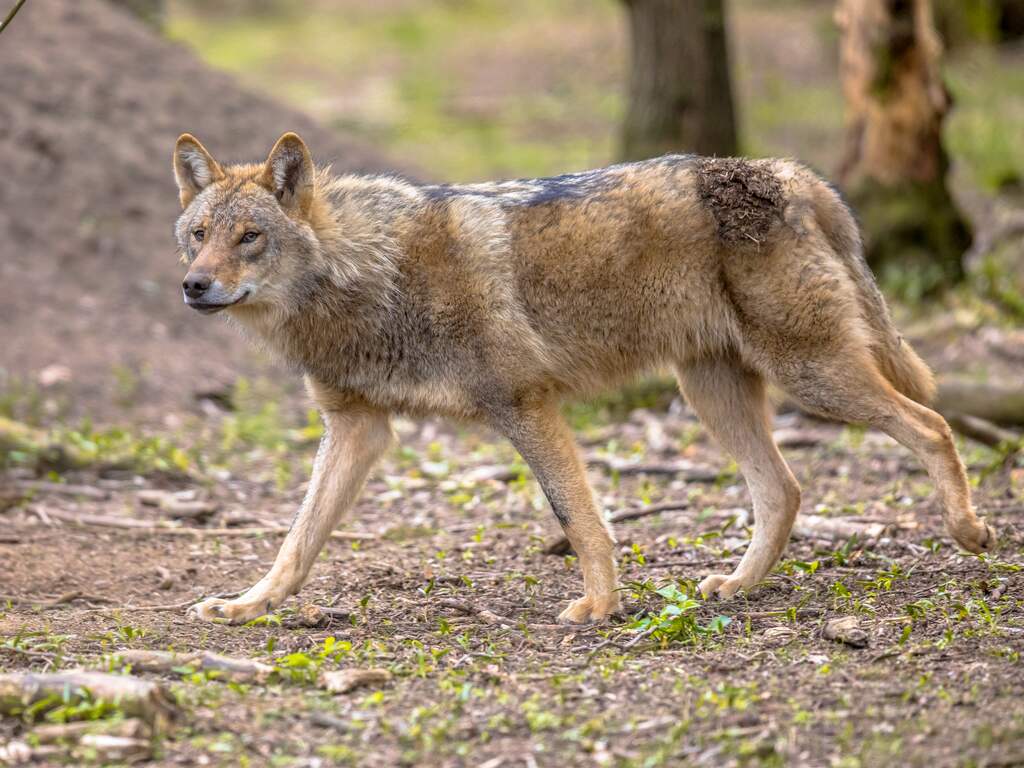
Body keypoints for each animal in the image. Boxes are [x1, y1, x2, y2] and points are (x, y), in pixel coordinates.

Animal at [174, 132, 995, 625]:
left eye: (251, 238)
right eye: (199, 235)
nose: (193, 286)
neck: (365, 276)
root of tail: (789, 173)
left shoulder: (525, 405)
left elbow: (579, 517)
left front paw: (599, 606)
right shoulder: (358, 427)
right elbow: (297, 540)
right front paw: (248, 605)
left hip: (812, 377)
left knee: (932, 424)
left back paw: (967, 530)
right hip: (714, 393)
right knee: (785, 490)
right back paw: (736, 587)